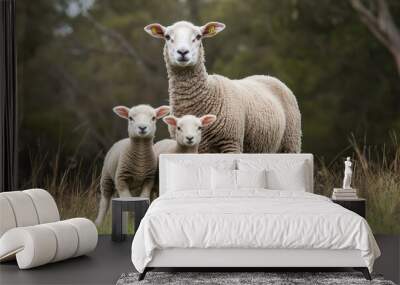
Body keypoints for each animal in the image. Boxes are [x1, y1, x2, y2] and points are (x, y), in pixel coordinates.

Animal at [144, 20, 300, 153]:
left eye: (199, 36)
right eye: (167, 36)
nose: (183, 52)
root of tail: (267, 76)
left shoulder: (231, 142)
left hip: (291, 142)